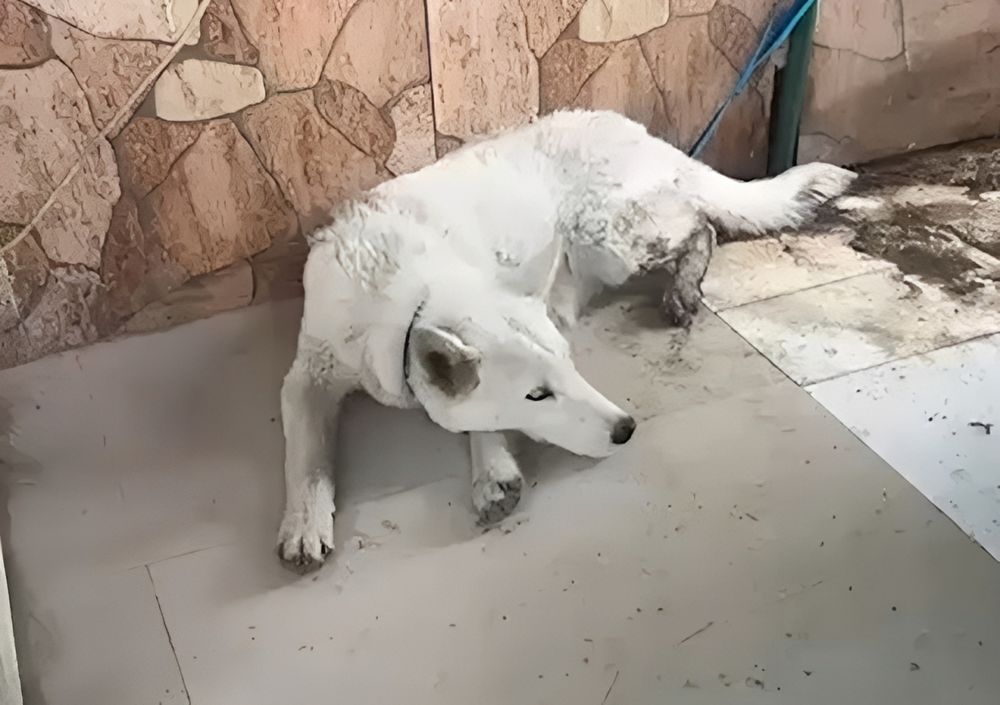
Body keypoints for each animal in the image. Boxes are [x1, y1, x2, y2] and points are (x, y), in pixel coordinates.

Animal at [278, 110, 855, 571]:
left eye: (570, 368)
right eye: (538, 395)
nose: (626, 430)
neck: (408, 297)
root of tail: (642, 134)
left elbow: (478, 424)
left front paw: (491, 470)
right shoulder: (307, 376)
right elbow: (306, 458)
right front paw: (305, 521)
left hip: (611, 239)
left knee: (701, 225)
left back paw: (684, 287)